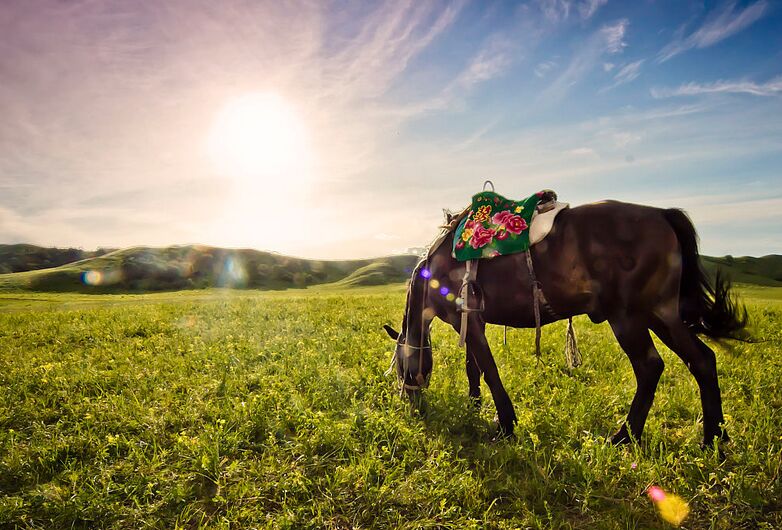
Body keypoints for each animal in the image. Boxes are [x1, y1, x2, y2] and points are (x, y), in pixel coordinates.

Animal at [384, 199, 748, 446]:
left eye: (401, 366)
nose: (411, 405)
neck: (438, 265)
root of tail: (661, 213)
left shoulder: (470, 321)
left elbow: (489, 370)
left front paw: (505, 425)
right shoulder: (475, 322)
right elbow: (474, 368)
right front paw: (475, 407)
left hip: (630, 317)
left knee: (651, 367)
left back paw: (625, 436)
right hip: (661, 314)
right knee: (702, 360)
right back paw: (714, 439)